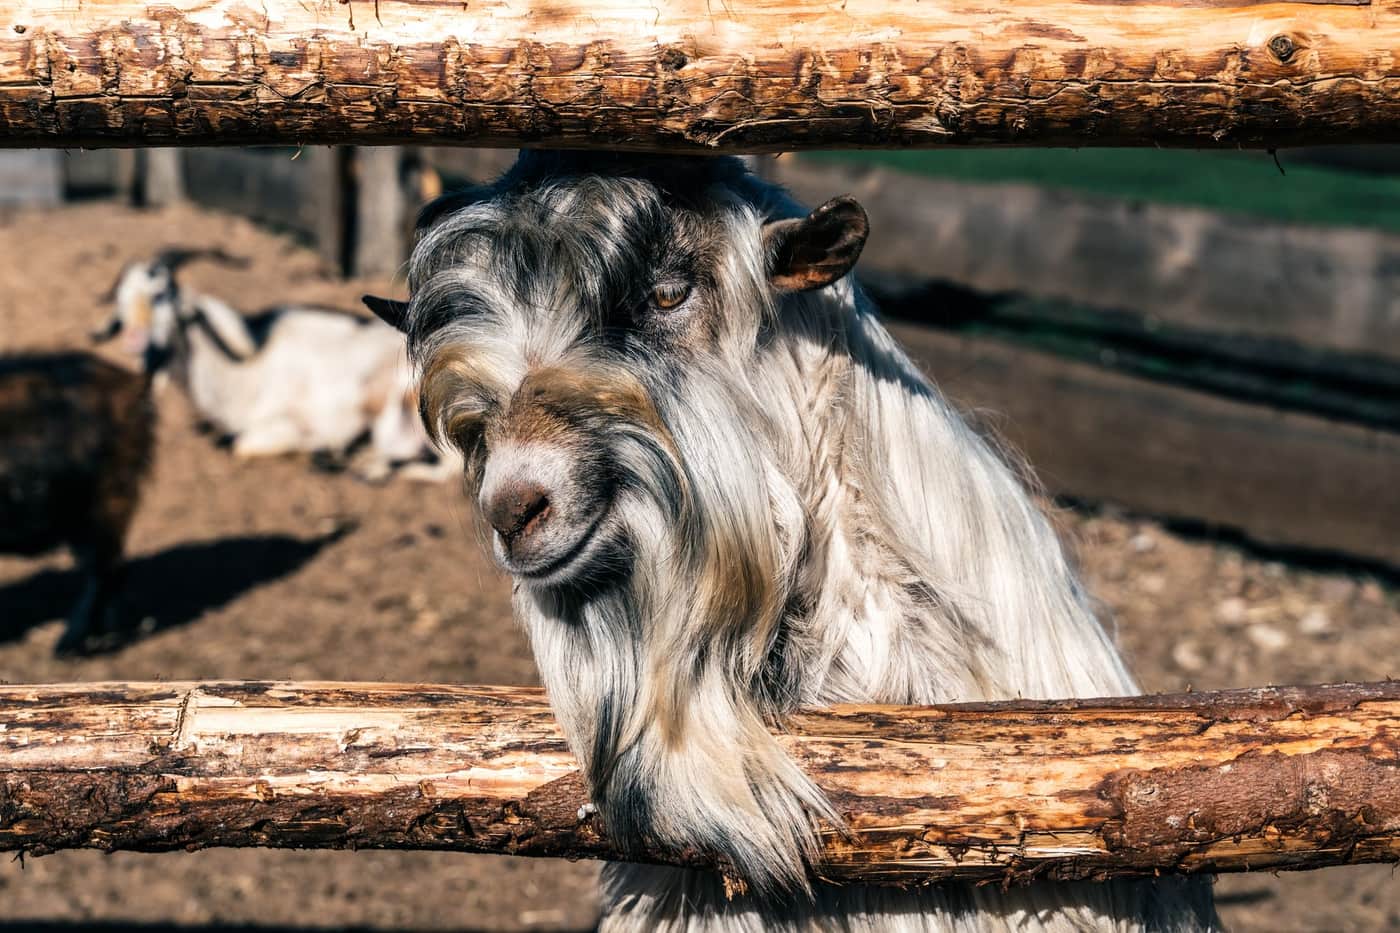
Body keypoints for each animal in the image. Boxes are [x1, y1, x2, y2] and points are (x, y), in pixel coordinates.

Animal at [95, 249, 451, 480]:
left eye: (161, 295)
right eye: (121, 301)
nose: (134, 340)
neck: (244, 373)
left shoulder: (291, 422)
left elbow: (238, 444)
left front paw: (322, 447)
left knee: (439, 467)